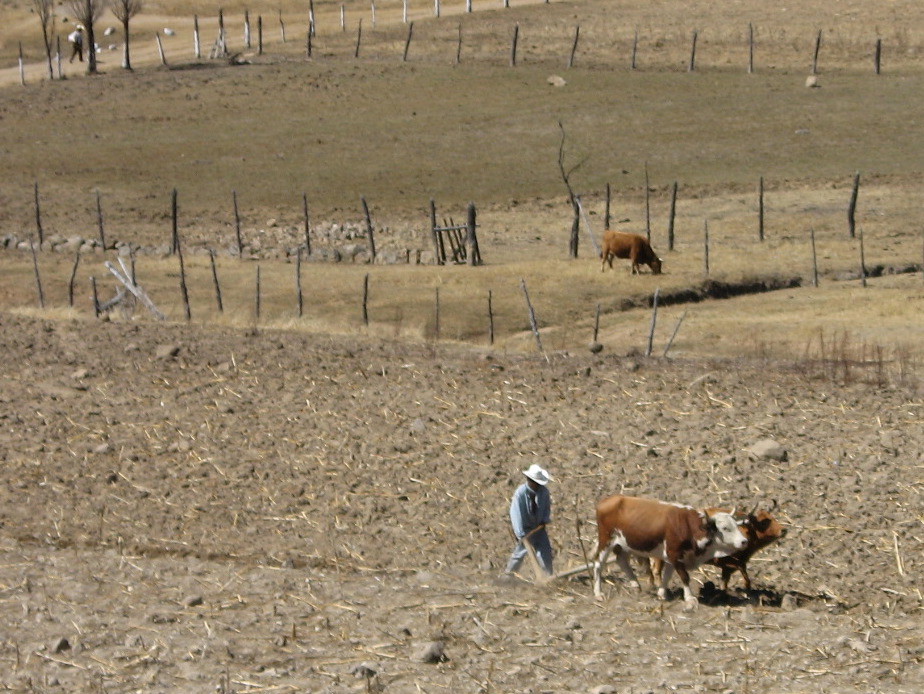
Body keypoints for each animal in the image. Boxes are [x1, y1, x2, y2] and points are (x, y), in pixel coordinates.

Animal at [592, 494, 752, 608]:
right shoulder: (675, 554)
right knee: (598, 564)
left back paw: (636, 585)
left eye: (736, 525)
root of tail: (608, 500)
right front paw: (690, 598)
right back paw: (598, 593)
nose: (744, 541)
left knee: (622, 561)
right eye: (725, 528)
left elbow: (667, 576)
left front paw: (662, 594)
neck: (688, 526)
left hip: (625, 544)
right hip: (606, 540)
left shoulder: (671, 557)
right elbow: (685, 577)